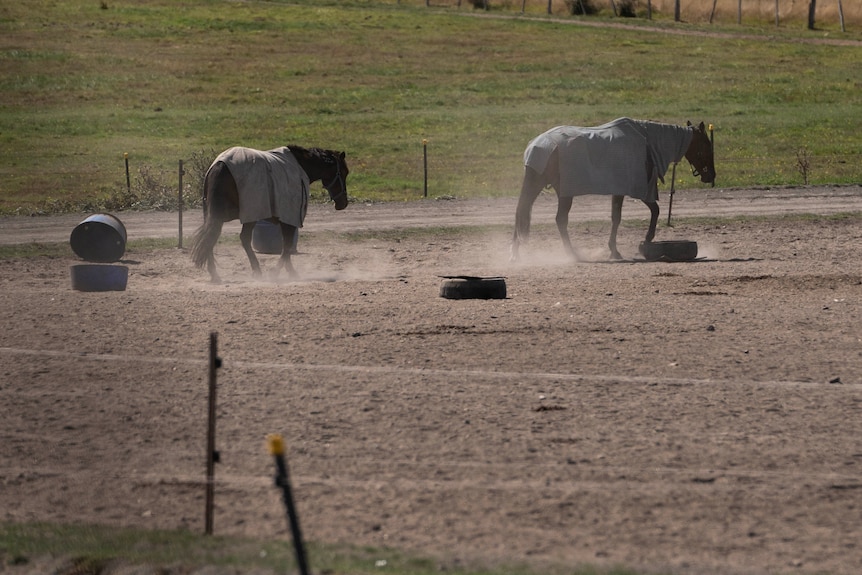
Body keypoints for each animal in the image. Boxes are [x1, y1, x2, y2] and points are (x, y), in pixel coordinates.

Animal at [191, 145, 350, 282]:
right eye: (344, 172)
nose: (343, 203)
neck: (300, 167)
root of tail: (220, 166)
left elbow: (286, 247)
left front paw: (290, 272)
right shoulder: (289, 219)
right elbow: (286, 247)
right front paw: (277, 271)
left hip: (214, 216)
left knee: (210, 239)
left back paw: (215, 274)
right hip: (248, 216)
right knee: (240, 239)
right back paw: (254, 270)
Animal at [512, 119, 716, 264]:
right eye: (706, 145)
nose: (711, 176)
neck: (646, 142)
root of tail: (537, 146)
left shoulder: (620, 191)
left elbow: (616, 217)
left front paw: (615, 249)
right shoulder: (636, 189)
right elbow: (651, 211)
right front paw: (644, 240)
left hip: (535, 184)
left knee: (521, 212)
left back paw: (516, 254)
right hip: (564, 193)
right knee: (559, 219)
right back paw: (571, 253)